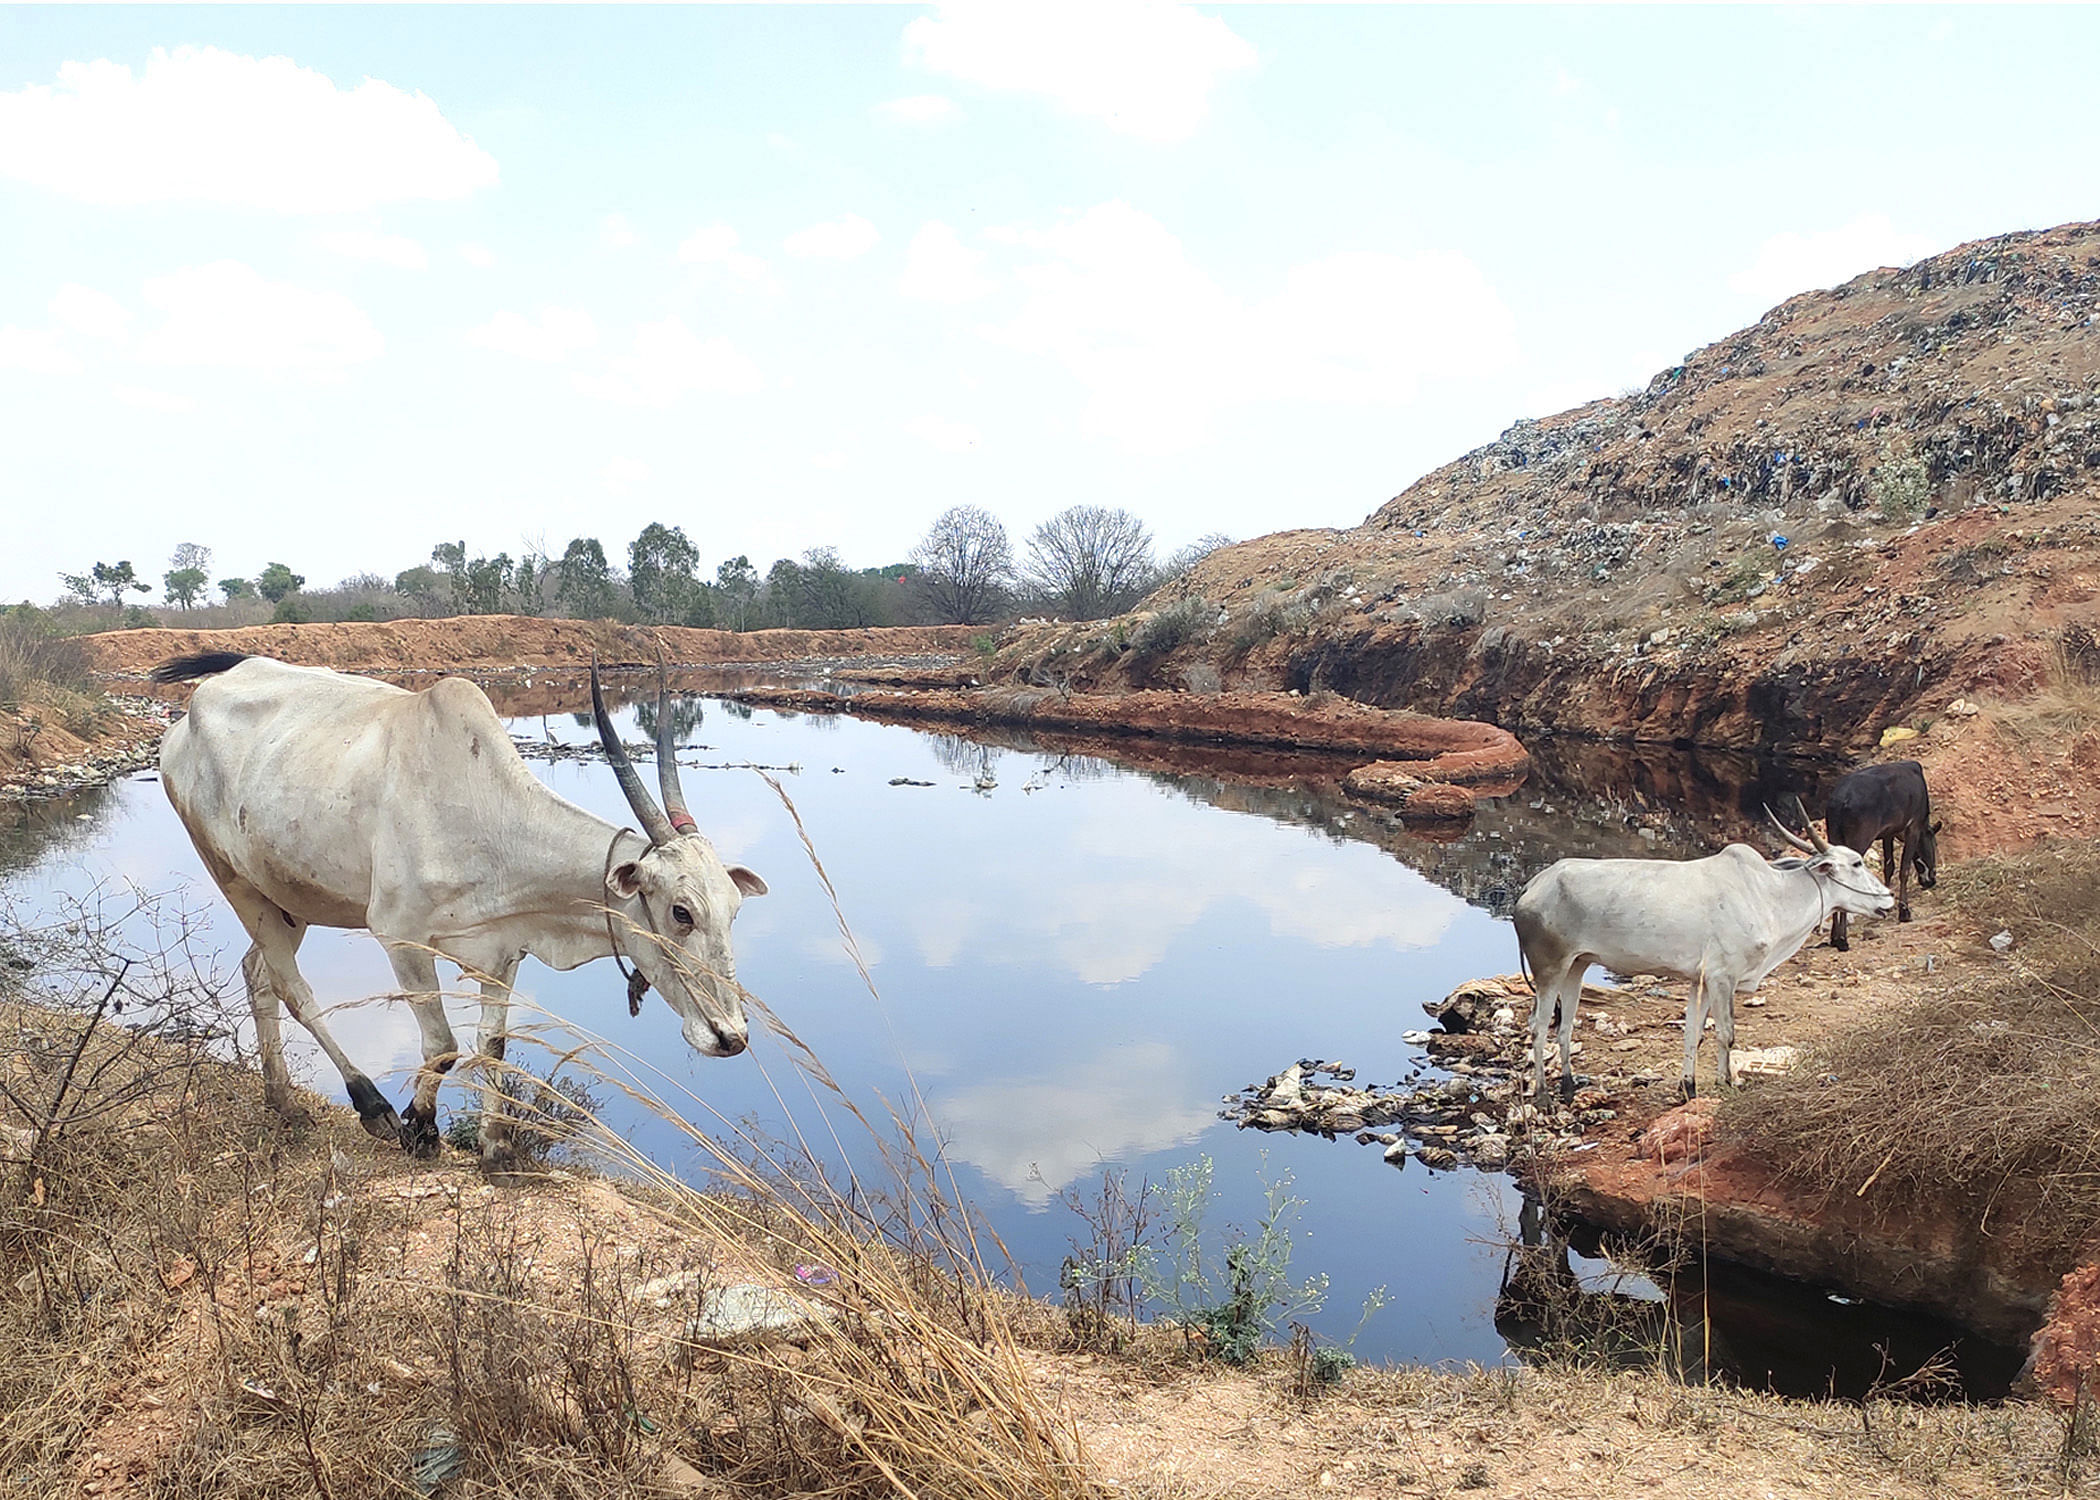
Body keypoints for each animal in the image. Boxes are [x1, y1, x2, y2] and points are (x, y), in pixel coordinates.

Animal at [155, 647, 768, 1159]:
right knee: (293, 988)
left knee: (258, 973)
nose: (731, 1037)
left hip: (287, 897)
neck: (486, 814)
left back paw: (282, 1100)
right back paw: (370, 1105)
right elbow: (443, 1046)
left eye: (735, 910)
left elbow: (491, 1045)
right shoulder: (399, 937)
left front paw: (497, 1152)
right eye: (681, 912)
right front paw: (421, 1129)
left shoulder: (503, 952)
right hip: (233, 878)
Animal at [1822, 760, 1931, 945]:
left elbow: (1889, 867)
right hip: (1860, 839)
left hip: (1834, 836)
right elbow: (1904, 869)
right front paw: (1904, 912)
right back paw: (1842, 938)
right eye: (1933, 845)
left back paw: (1835, 936)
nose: (1931, 881)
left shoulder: (1888, 833)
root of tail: (1840, 800)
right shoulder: (1913, 827)